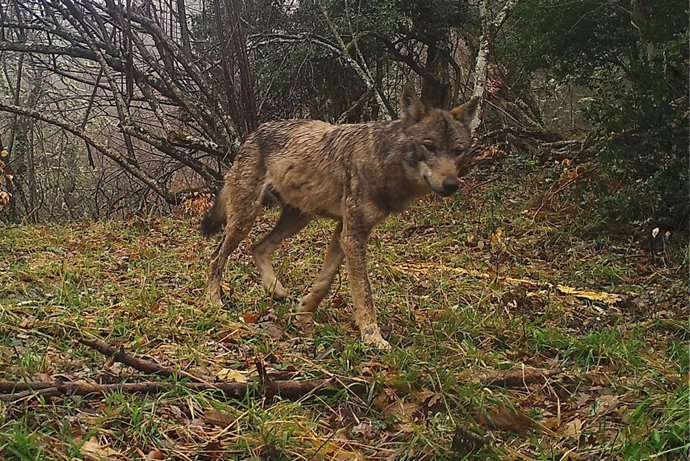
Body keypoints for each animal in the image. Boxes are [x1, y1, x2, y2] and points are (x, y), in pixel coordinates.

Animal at [201, 86, 479, 350]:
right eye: (429, 146)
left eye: (458, 151)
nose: (452, 184)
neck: (383, 161)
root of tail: (253, 133)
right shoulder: (353, 235)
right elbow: (364, 291)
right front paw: (372, 337)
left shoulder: (344, 231)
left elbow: (325, 281)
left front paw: (304, 312)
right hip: (246, 218)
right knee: (217, 257)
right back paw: (214, 301)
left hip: (297, 219)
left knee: (258, 247)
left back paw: (275, 289)